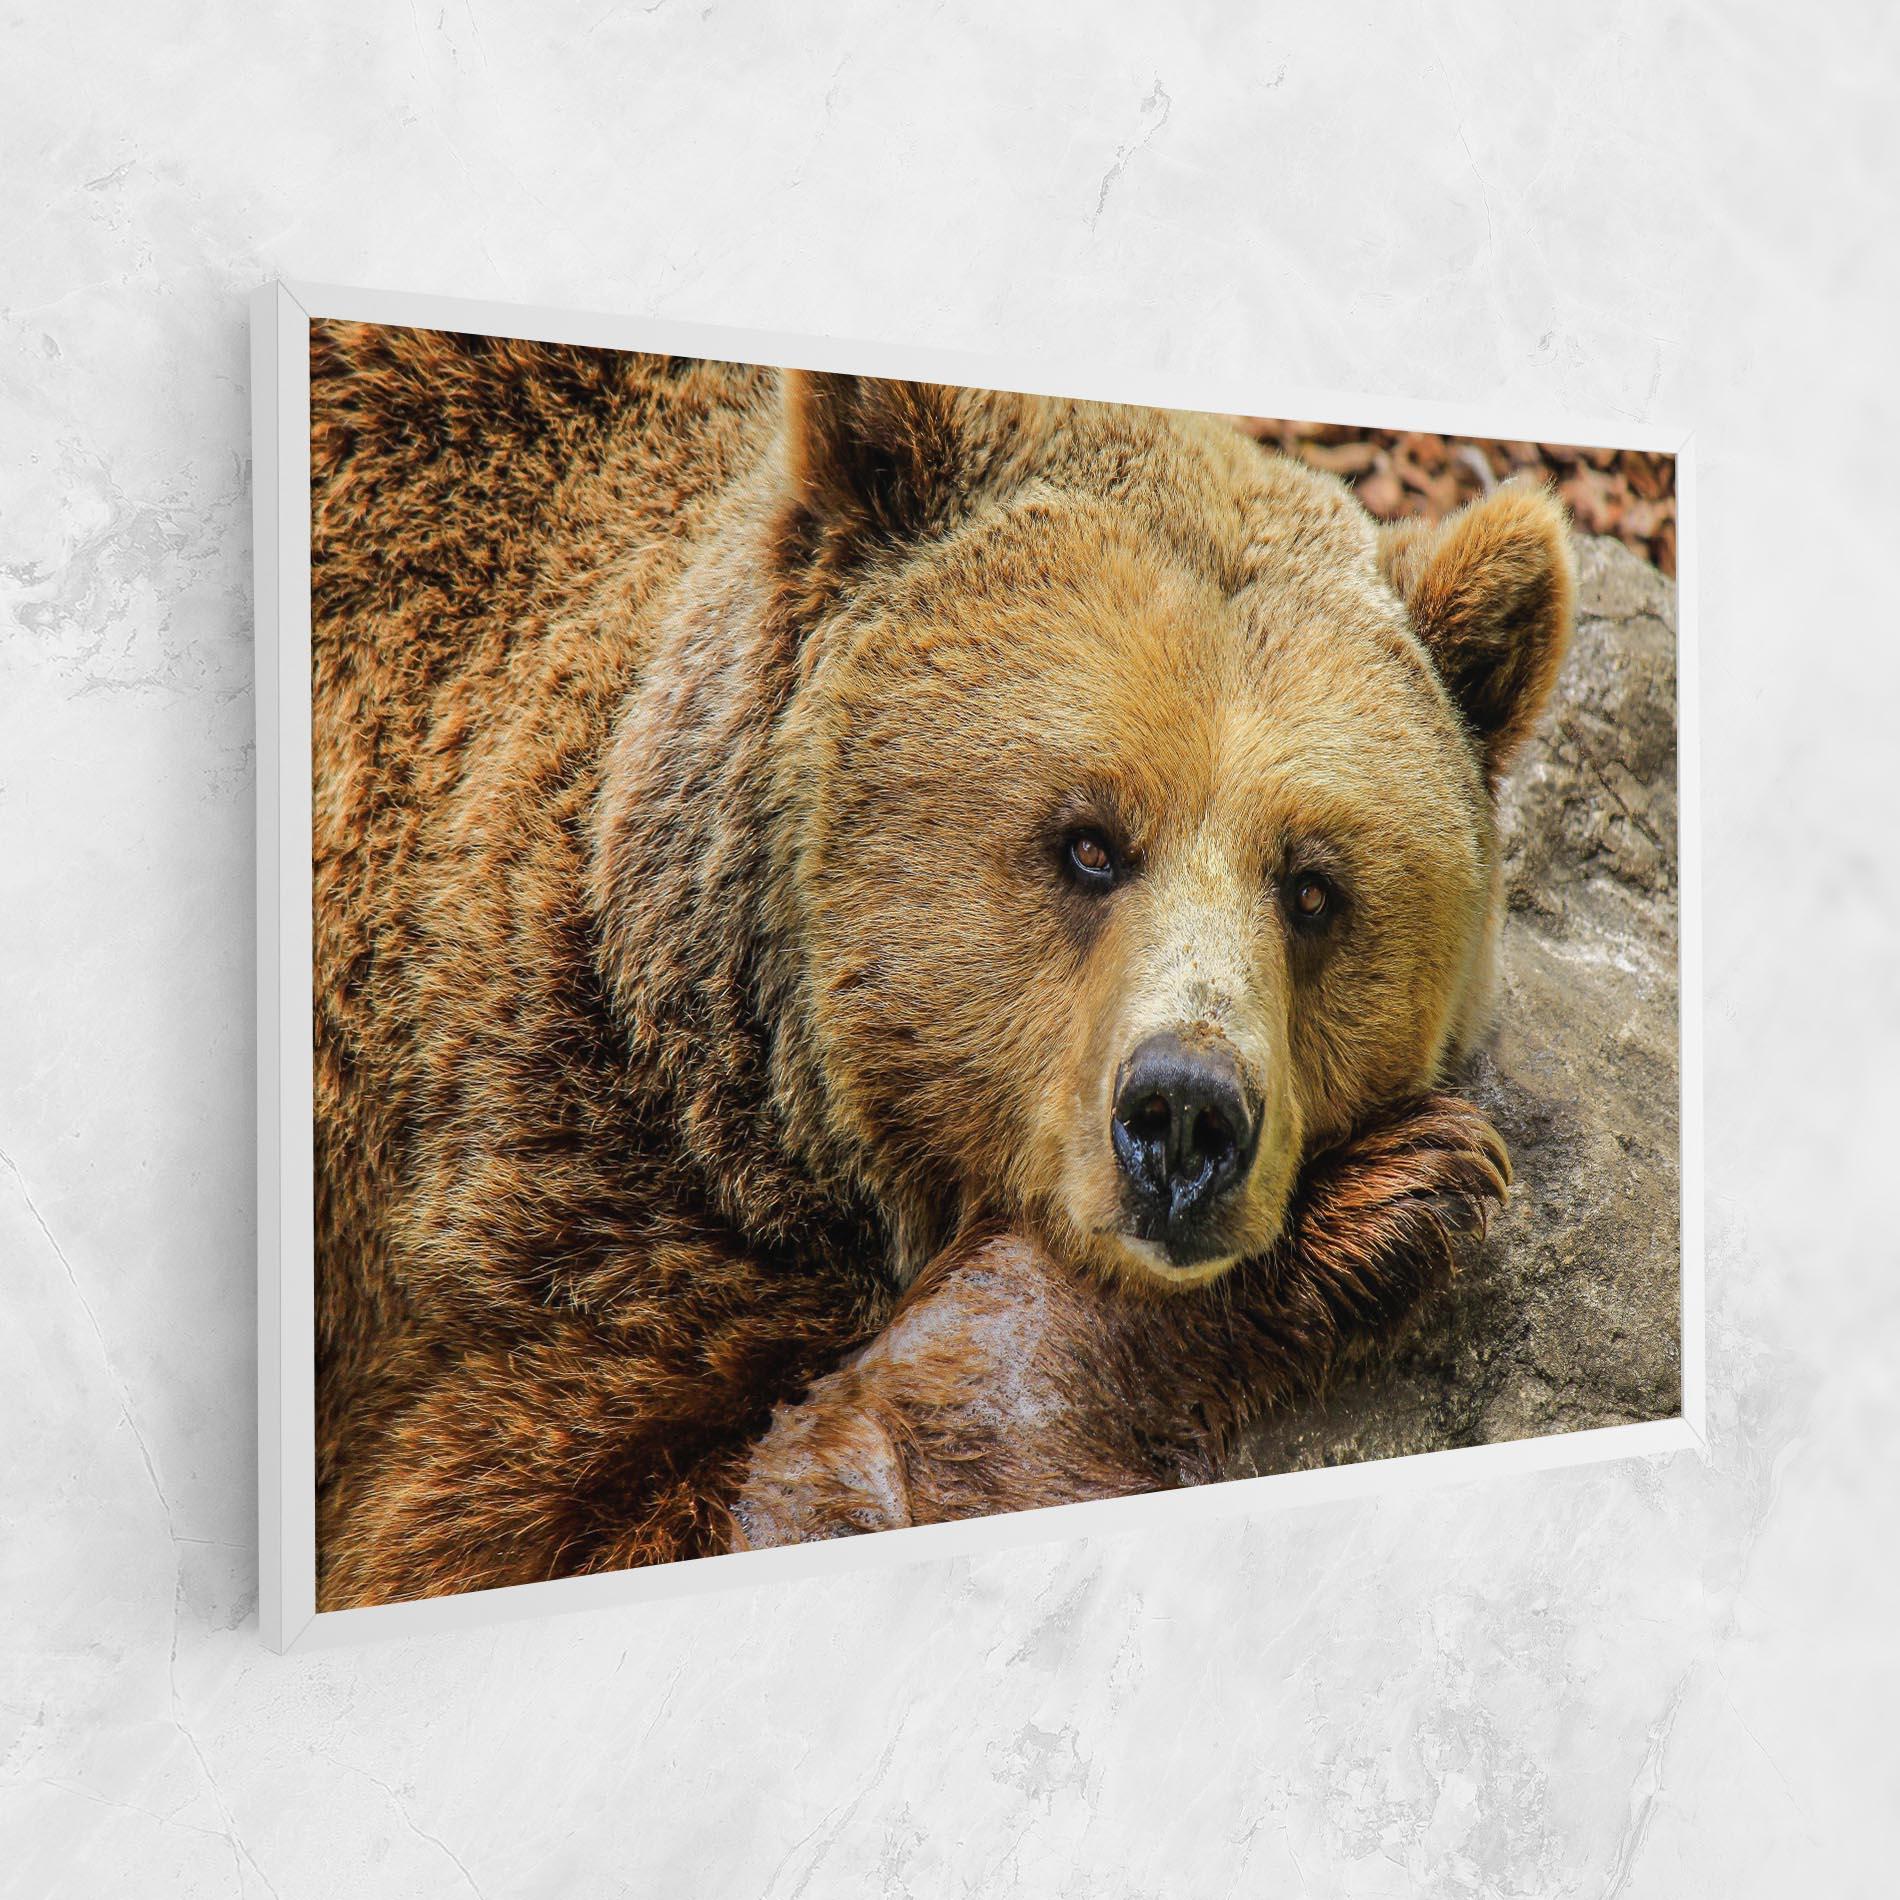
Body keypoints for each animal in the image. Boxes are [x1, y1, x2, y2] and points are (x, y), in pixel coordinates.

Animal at [307, 323, 1572, 1608]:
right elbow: (532, 1528)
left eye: (1312, 887)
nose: (1185, 1119)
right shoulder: (535, 1200)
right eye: (1087, 841)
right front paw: (1383, 1198)